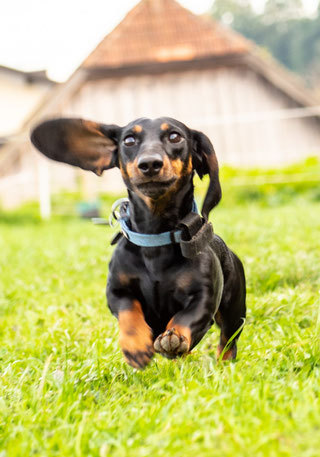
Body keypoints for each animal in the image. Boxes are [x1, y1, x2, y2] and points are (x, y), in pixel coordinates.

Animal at [30, 116, 245, 366]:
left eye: (175, 136)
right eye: (129, 140)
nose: (150, 164)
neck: (155, 239)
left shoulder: (204, 298)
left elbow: (187, 317)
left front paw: (174, 336)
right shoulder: (116, 291)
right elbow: (128, 311)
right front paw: (135, 346)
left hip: (234, 312)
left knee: (227, 341)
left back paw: (221, 362)